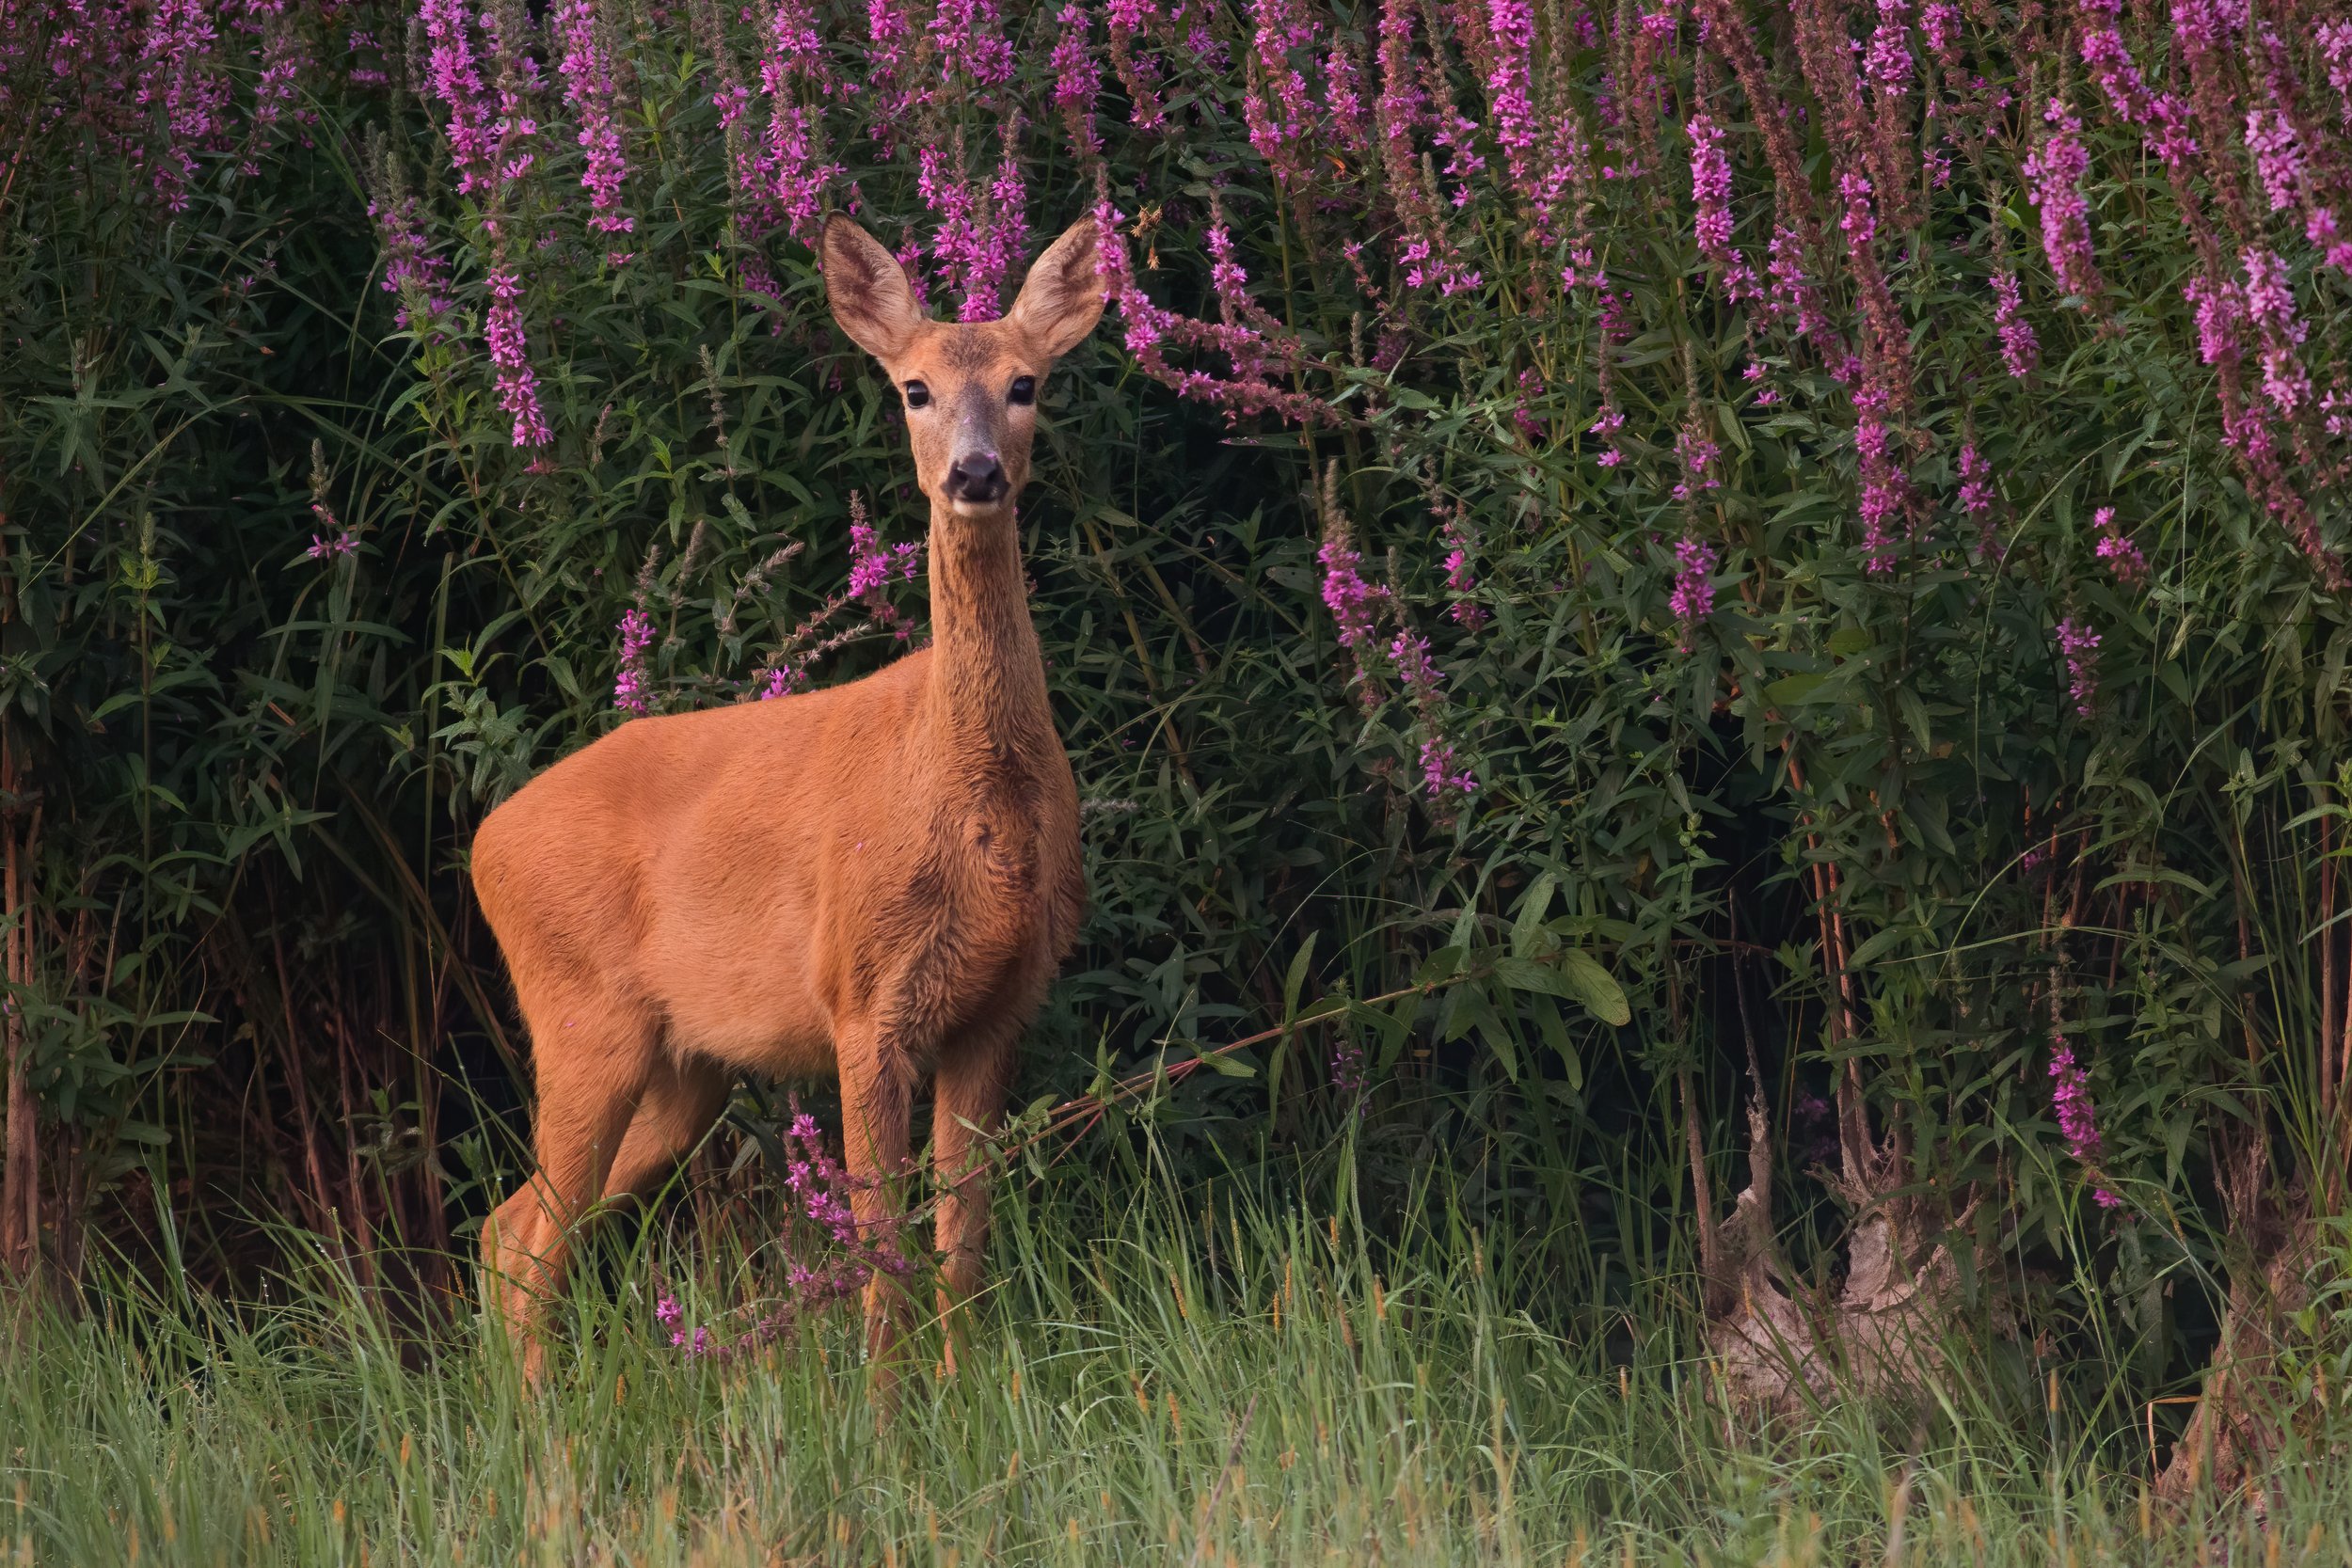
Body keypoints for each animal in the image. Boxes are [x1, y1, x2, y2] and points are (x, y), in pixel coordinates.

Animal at [470, 213, 1101, 1387]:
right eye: (912, 388)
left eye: (1026, 383)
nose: (976, 472)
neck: (962, 793)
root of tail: (483, 841)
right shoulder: (861, 996)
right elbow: (882, 1239)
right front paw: (888, 1409)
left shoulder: (998, 1005)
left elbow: (964, 1240)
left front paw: (964, 1397)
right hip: (581, 1020)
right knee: (532, 1240)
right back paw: (543, 1423)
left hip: (684, 1069)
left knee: (508, 1224)